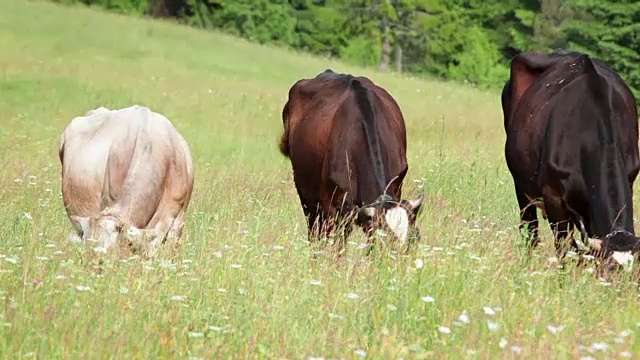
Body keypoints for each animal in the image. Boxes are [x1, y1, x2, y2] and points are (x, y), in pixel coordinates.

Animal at [278, 67, 422, 253]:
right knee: (314, 228)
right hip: (306, 191)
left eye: (414, 239)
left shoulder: (397, 186)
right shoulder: (333, 206)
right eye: (382, 242)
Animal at [502, 50, 640, 270]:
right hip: (521, 187)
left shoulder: (630, 180)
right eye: (605, 270)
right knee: (530, 231)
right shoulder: (552, 196)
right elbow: (566, 249)